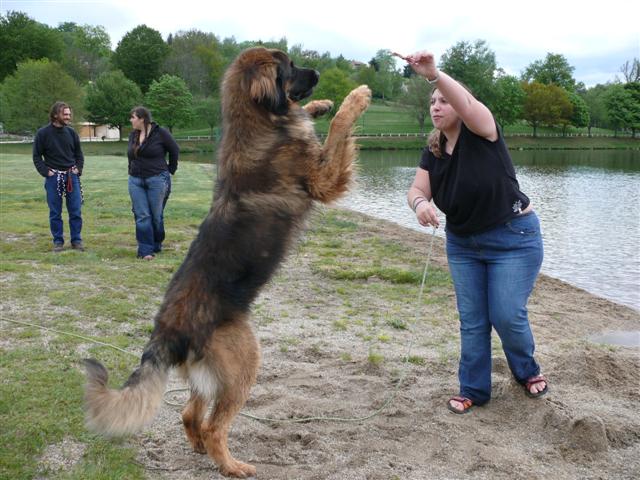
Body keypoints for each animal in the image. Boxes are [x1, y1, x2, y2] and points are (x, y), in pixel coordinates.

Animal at [82, 47, 372, 478]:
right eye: (289, 67)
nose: (320, 74)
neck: (258, 123)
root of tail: (164, 332)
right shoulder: (324, 179)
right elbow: (339, 129)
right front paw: (355, 98)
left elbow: (315, 118)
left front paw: (319, 105)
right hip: (244, 361)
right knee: (215, 425)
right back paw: (232, 465)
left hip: (209, 376)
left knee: (190, 414)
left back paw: (201, 448)